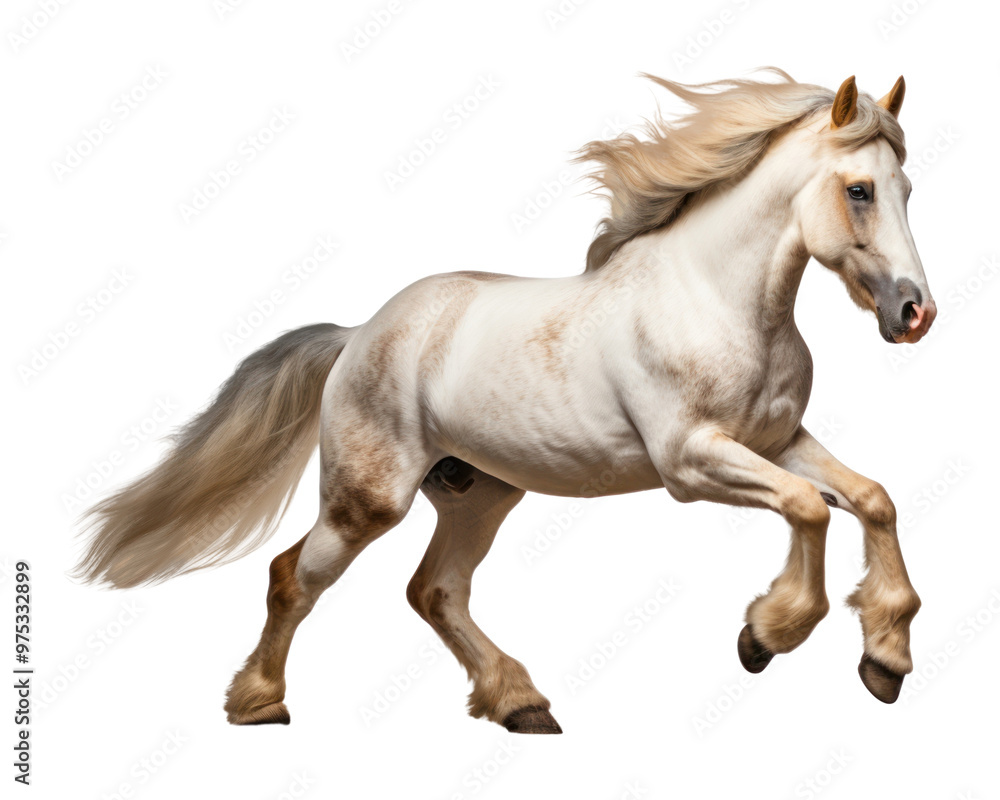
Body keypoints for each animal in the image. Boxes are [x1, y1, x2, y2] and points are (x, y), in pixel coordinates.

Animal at [76, 71, 936, 734]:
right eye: (860, 190)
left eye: (907, 189)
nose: (914, 313)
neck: (718, 301)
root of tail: (358, 336)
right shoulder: (691, 460)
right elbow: (810, 508)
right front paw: (765, 634)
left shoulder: (778, 440)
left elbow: (872, 498)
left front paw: (885, 658)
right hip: (369, 498)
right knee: (295, 576)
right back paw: (258, 704)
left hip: (479, 493)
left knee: (434, 590)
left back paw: (521, 704)